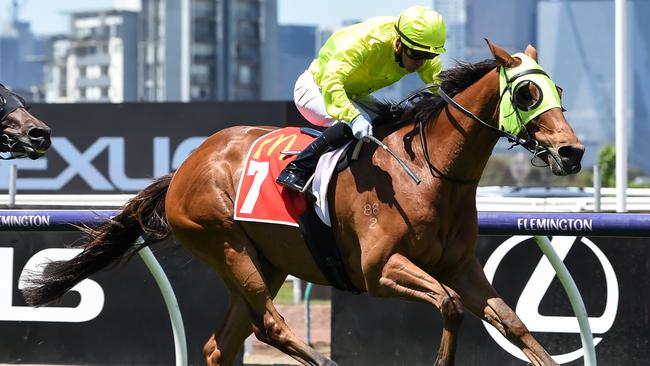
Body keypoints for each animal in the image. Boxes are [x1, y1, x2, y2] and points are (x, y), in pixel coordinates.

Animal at [24, 40, 584, 366]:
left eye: (557, 87)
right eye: (527, 94)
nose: (572, 152)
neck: (427, 174)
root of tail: (185, 167)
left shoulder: (461, 267)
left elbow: (512, 323)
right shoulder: (378, 270)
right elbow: (447, 306)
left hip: (265, 262)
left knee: (224, 343)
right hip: (227, 246)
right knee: (269, 325)